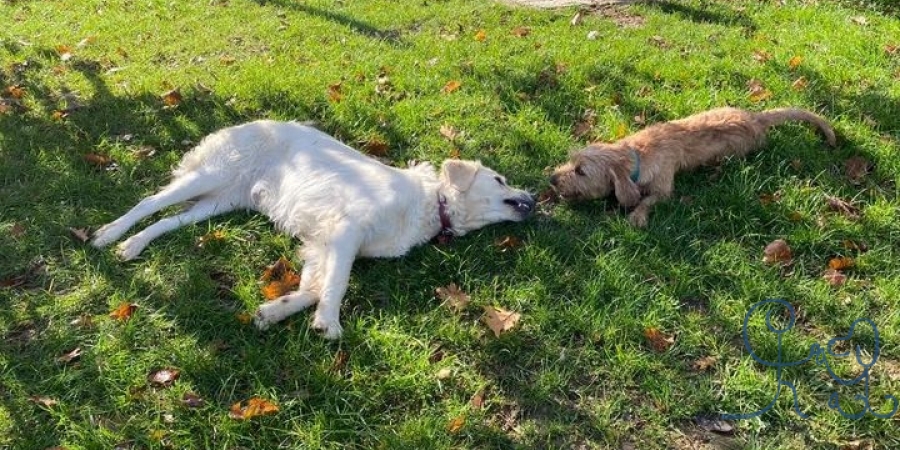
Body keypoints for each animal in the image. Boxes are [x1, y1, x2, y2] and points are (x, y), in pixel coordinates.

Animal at [91, 119, 536, 338]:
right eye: (499, 181)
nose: (533, 199)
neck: (430, 205)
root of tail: (252, 120)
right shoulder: (345, 231)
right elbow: (335, 285)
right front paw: (329, 323)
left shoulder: (321, 244)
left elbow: (313, 288)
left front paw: (273, 311)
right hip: (211, 176)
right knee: (149, 202)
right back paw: (109, 235)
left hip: (220, 202)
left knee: (167, 220)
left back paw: (133, 246)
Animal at [548, 107, 836, 227]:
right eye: (571, 161)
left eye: (581, 171)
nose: (551, 178)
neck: (638, 155)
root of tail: (755, 118)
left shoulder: (664, 189)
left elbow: (648, 200)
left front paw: (638, 215)